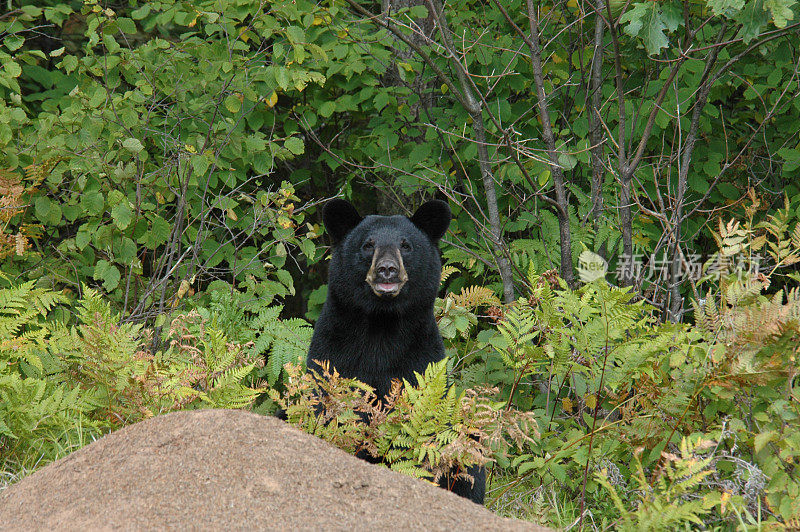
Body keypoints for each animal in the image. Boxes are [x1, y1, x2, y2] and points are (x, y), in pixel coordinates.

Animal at [306, 198, 484, 502]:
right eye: (368, 244)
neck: (382, 324)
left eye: (406, 245)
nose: (387, 269)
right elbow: (325, 406)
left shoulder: (420, 357)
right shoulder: (334, 352)